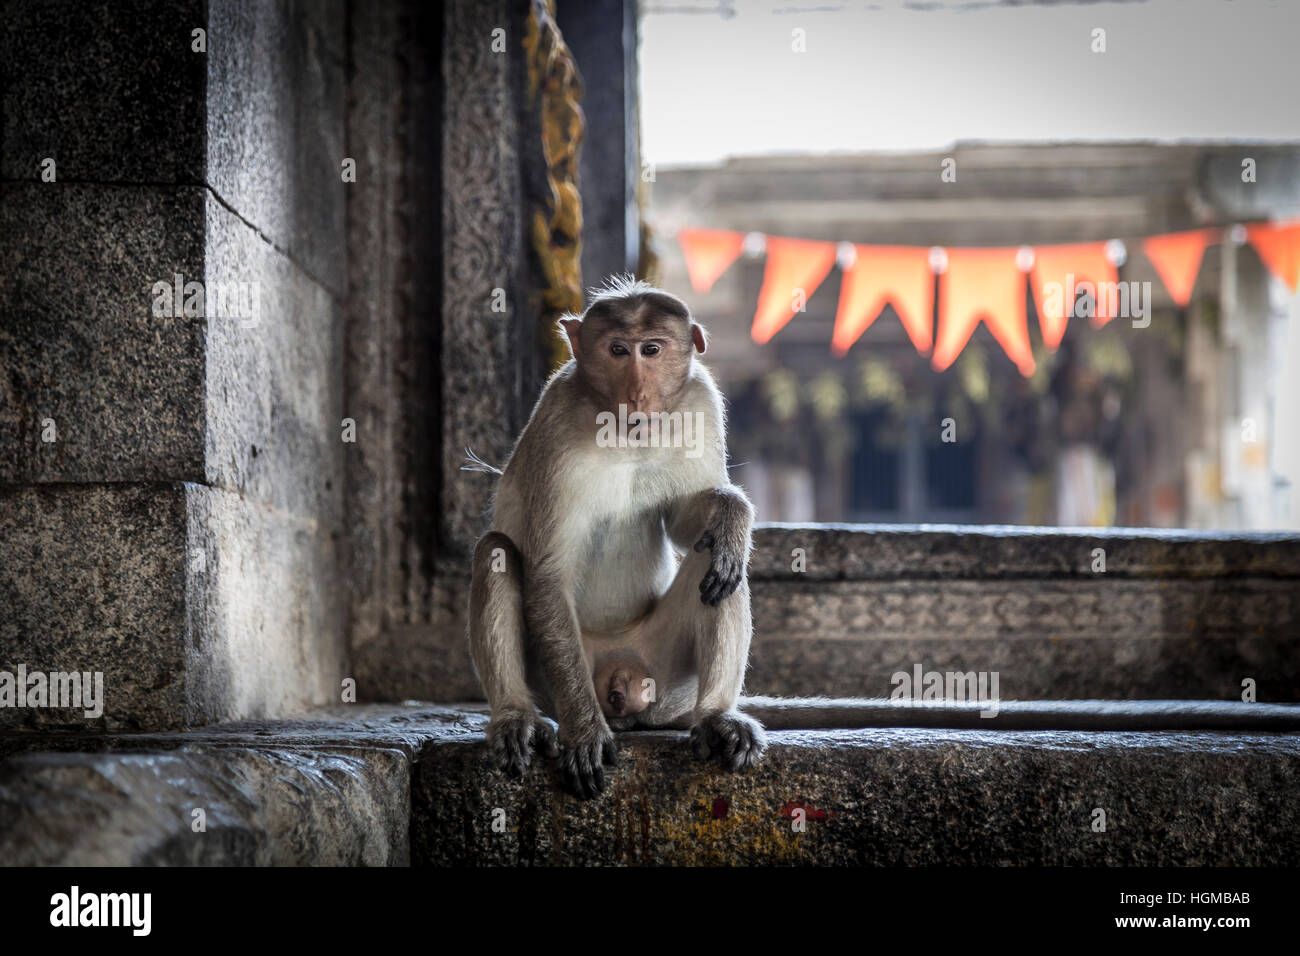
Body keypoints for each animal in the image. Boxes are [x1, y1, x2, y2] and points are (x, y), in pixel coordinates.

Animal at [466, 275, 765, 798]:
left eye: (652, 349)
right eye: (618, 350)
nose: (638, 392)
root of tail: (621, 678)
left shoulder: (701, 402)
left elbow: (688, 521)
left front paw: (732, 514)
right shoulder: (557, 423)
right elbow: (548, 572)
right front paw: (585, 732)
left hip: (664, 674)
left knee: (720, 566)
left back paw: (716, 718)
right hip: (559, 670)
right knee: (496, 551)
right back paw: (517, 717)